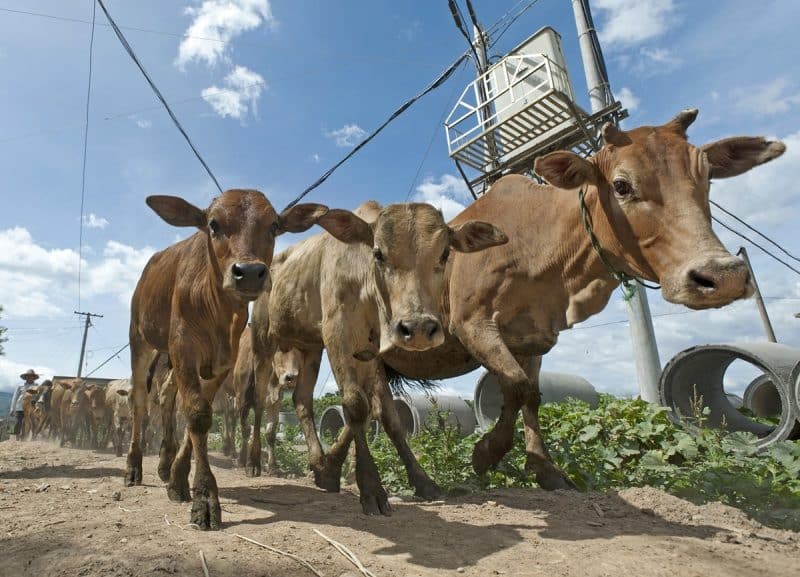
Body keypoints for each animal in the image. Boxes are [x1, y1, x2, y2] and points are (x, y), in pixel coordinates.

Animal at [124, 188, 332, 530]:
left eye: (274, 226)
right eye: (213, 223)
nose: (248, 273)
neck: (217, 311)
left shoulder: (220, 363)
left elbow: (199, 416)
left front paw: (180, 479)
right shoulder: (184, 348)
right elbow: (196, 415)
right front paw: (206, 498)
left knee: (166, 397)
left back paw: (166, 464)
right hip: (141, 341)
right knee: (140, 402)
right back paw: (133, 466)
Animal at [252, 200, 508, 514]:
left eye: (445, 253)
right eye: (378, 253)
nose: (418, 328)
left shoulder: (371, 353)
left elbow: (387, 415)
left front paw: (422, 481)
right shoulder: (336, 332)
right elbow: (355, 404)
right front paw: (371, 487)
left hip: (310, 347)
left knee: (302, 400)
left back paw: (317, 461)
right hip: (263, 340)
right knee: (258, 399)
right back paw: (251, 460)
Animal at [374, 110, 785, 492]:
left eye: (707, 179)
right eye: (621, 185)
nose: (723, 275)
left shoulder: (532, 338)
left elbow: (529, 394)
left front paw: (544, 469)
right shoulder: (471, 321)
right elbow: (516, 385)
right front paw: (485, 453)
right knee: (383, 417)